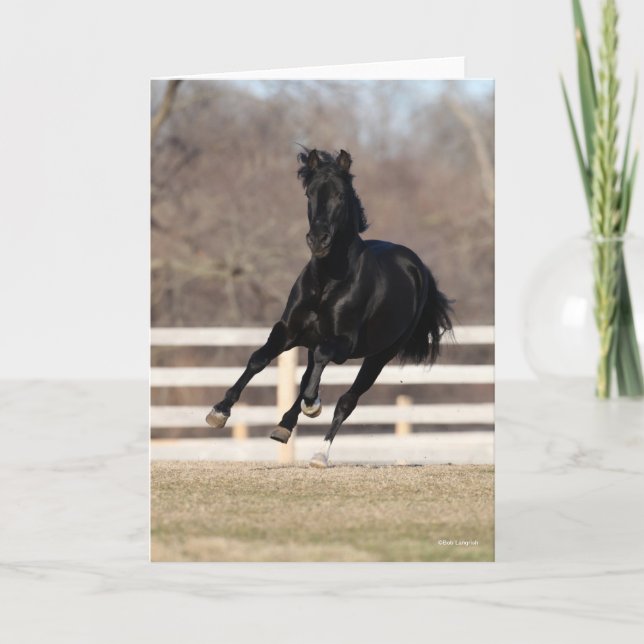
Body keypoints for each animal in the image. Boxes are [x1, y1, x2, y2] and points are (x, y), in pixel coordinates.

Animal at [206, 148, 452, 468]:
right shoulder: (289, 331)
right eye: (309, 193)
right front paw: (219, 411)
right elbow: (259, 359)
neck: (328, 281)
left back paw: (320, 453)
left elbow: (321, 370)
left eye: (340, 194)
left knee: (347, 400)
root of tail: (418, 267)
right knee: (305, 379)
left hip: (381, 355)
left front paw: (314, 405)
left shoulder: (344, 343)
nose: (318, 240)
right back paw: (284, 426)